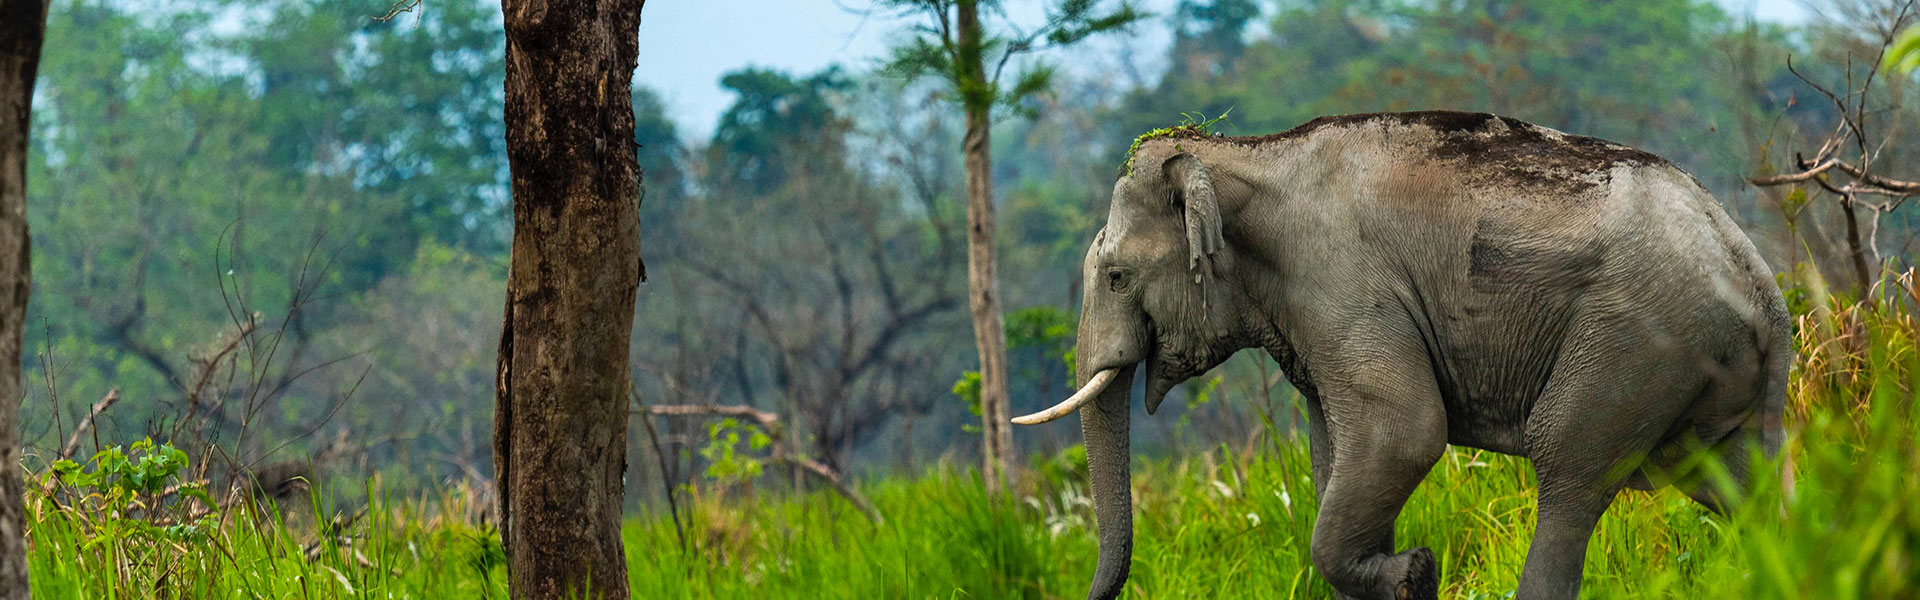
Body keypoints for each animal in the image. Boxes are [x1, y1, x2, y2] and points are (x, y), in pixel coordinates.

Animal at [1013, 111, 1789, 600]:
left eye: (1117, 276)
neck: (1242, 154)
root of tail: (1757, 273)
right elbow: (1340, 458)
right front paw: (1401, 569)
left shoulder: (1341, 284)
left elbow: (1404, 433)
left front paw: (1416, 573)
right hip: (1708, 374)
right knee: (1737, 487)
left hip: (1634, 344)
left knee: (1568, 466)